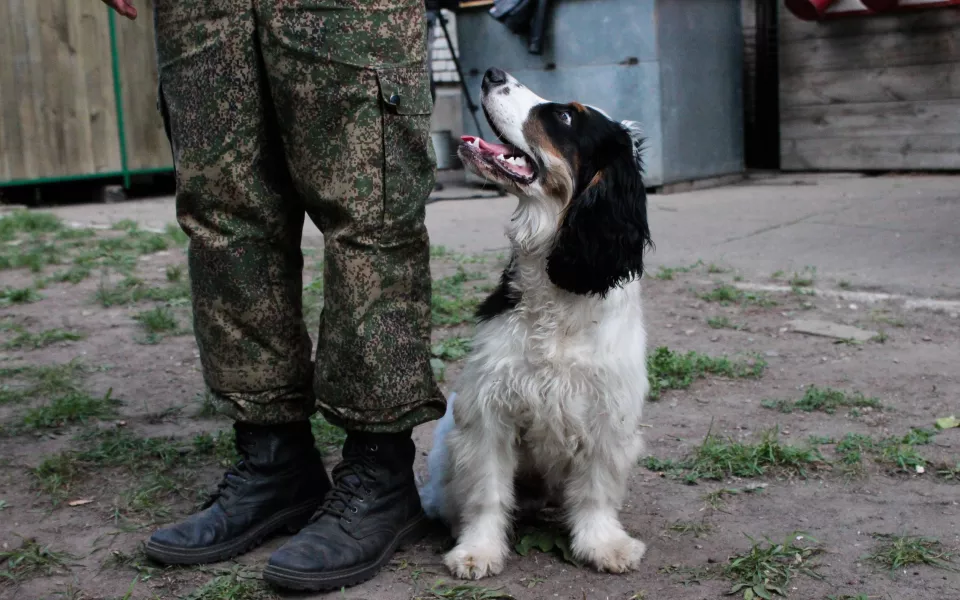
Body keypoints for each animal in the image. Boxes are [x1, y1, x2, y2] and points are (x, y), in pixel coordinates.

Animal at [420, 68, 652, 580]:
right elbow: (486, 494)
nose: (491, 73)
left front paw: (604, 545)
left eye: (564, 117)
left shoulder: (608, 413)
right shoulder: (488, 410)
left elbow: (596, 492)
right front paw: (477, 551)